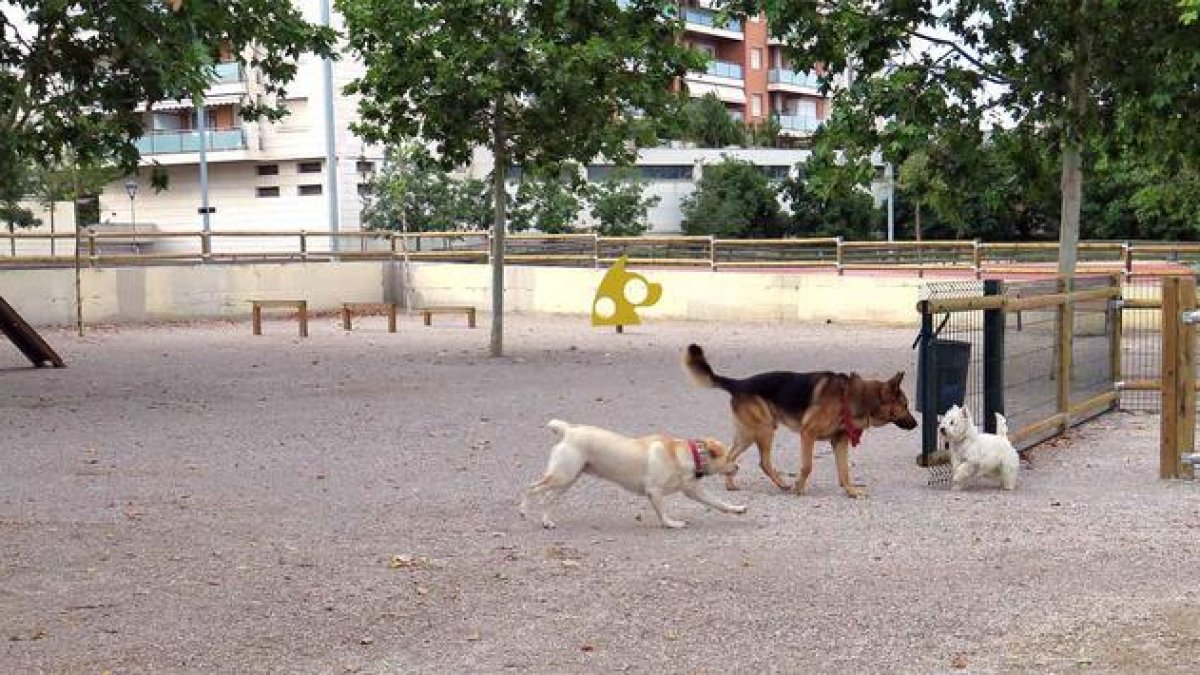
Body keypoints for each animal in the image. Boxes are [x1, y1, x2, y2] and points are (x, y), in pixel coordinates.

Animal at [518, 417, 744, 528]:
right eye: (729, 457)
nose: (737, 467)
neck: (690, 454)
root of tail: (569, 430)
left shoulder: (694, 491)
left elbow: (719, 503)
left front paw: (737, 509)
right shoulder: (654, 491)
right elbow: (663, 514)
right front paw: (672, 524)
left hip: (568, 480)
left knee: (547, 499)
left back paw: (547, 522)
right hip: (562, 476)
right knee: (530, 489)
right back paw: (523, 511)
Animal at [686, 343, 916, 497]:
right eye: (905, 405)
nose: (916, 424)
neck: (852, 396)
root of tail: (739, 383)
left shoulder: (839, 441)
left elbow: (844, 471)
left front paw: (851, 491)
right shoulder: (808, 434)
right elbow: (807, 466)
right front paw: (798, 487)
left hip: (748, 435)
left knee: (731, 456)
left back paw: (731, 485)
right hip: (764, 430)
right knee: (764, 462)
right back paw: (783, 484)